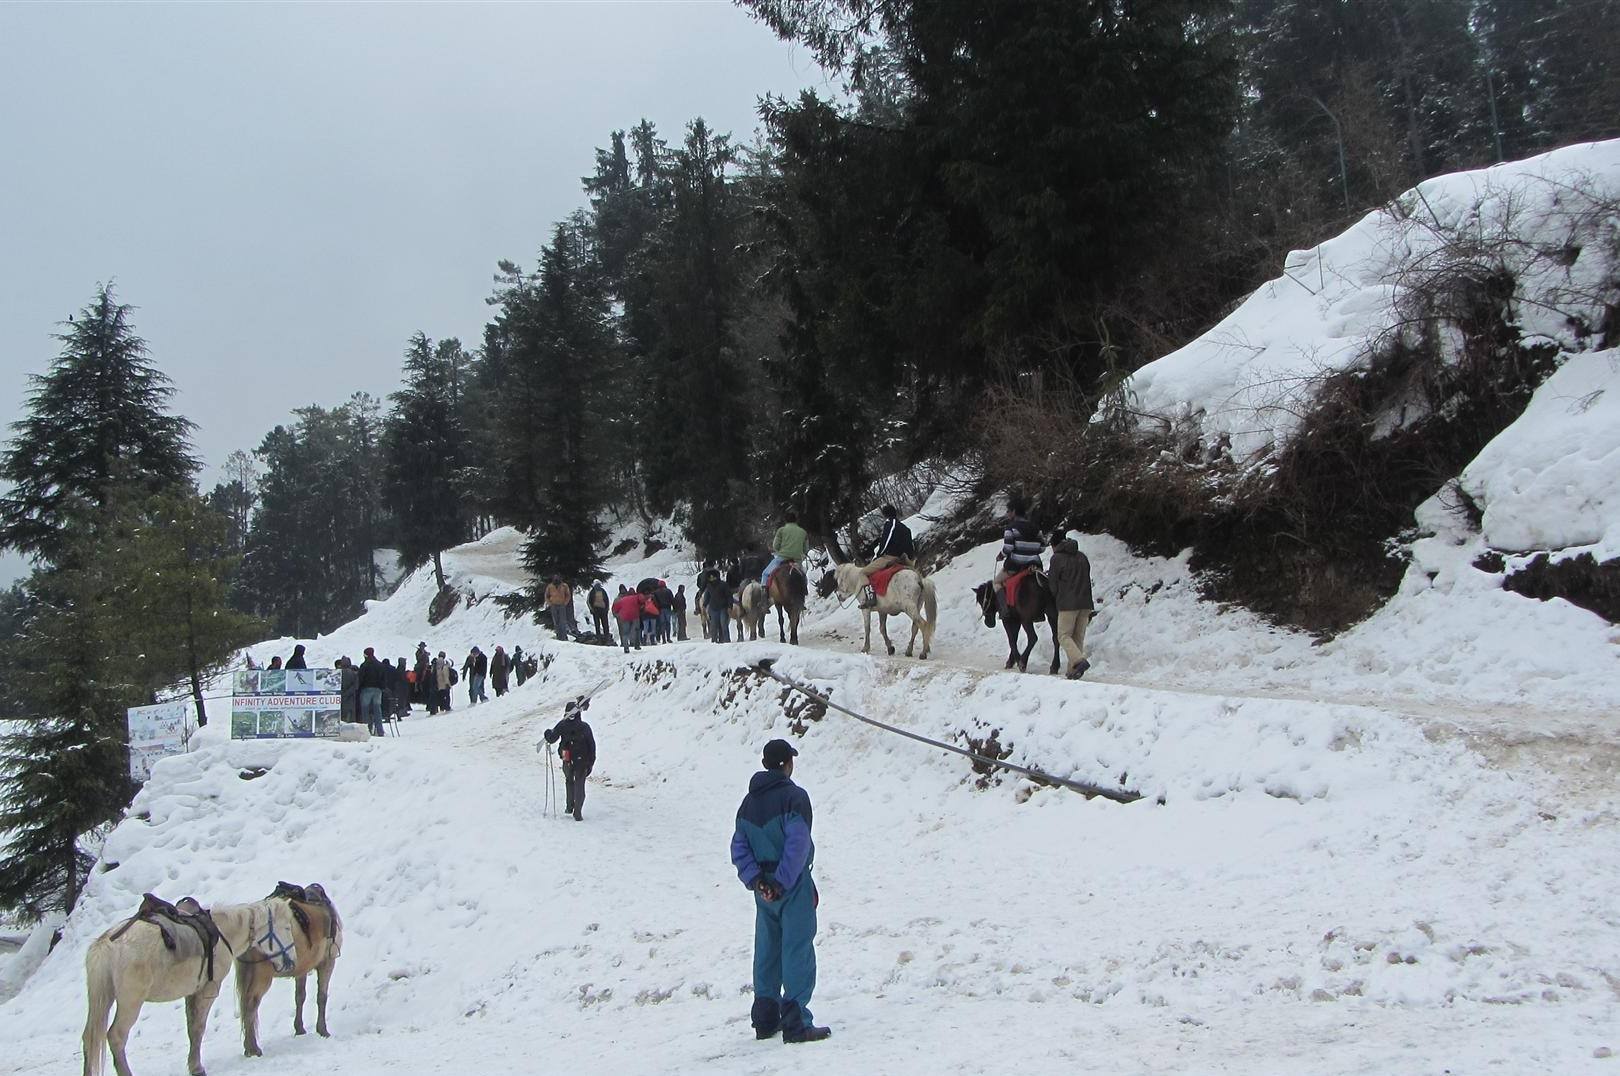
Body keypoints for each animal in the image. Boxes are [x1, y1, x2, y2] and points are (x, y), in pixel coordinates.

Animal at [85, 888, 301, 1076]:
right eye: (287, 927)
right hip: (130, 1003)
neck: (224, 933)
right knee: (116, 1037)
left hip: (103, 999)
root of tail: (106, 943)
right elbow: (198, 1028)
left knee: (89, 1037)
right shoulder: (208, 990)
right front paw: (197, 1068)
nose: (292, 961)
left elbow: (192, 1029)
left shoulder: (192, 993)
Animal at [236, 881, 343, 1056]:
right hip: (262, 976)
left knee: (246, 1006)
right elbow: (321, 996)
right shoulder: (328, 962)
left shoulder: (302, 969)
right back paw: (253, 1049)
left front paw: (299, 1029)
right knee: (251, 1004)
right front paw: (323, 1030)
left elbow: (300, 996)